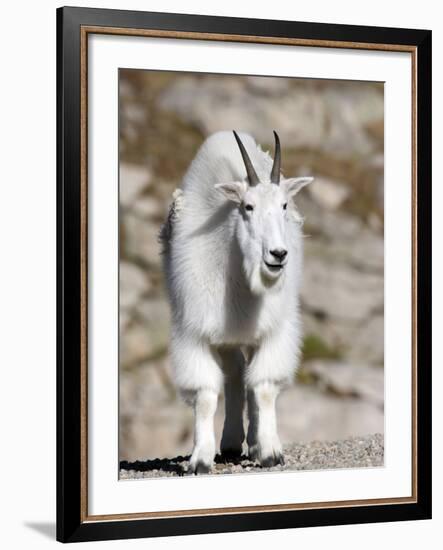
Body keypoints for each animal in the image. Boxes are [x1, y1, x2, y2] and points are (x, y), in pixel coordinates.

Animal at [160, 130, 312, 474]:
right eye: (247, 207)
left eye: (284, 205)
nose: (278, 255)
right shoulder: (196, 333)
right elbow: (205, 395)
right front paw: (200, 459)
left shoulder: (274, 331)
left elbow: (265, 387)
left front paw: (270, 452)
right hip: (226, 338)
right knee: (235, 372)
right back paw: (230, 443)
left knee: (249, 377)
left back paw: (253, 443)